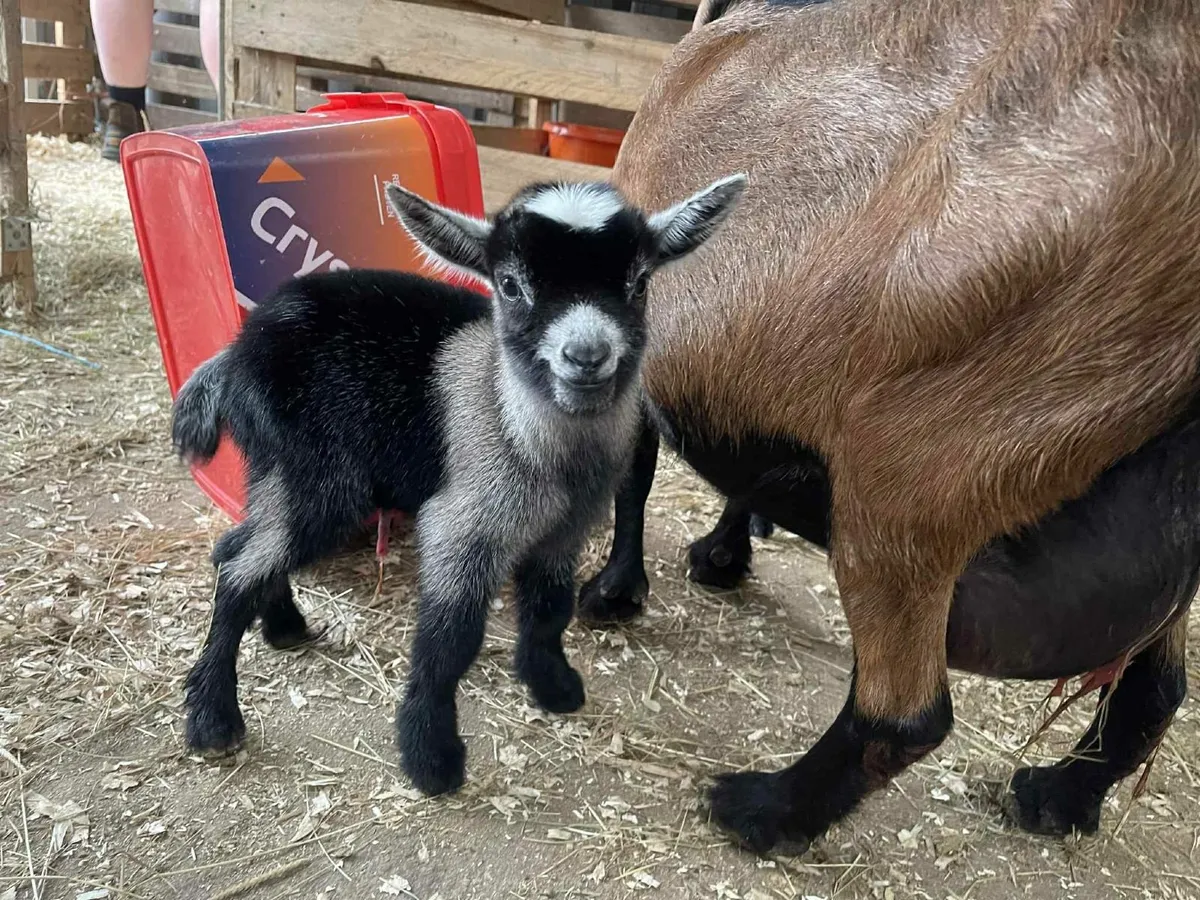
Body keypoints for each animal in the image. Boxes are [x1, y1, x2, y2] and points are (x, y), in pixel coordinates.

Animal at [171, 175, 746, 795]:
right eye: (510, 285)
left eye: (639, 283)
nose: (587, 357)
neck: (526, 432)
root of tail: (231, 356)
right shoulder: (465, 524)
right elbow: (450, 640)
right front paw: (431, 758)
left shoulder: (562, 532)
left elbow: (550, 608)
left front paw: (553, 687)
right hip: (318, 480)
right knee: (240, 569)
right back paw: (213, 719)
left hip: (276, 469)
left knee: (240, 547)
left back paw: (283, 628)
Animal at [584, 0, 1200, 855]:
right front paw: (722, 555)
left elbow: (635, 479)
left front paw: (613, 592)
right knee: (1156, 691)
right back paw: (1058, 797)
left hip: (918, 459)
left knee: (905, 713)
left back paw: (762, 811)